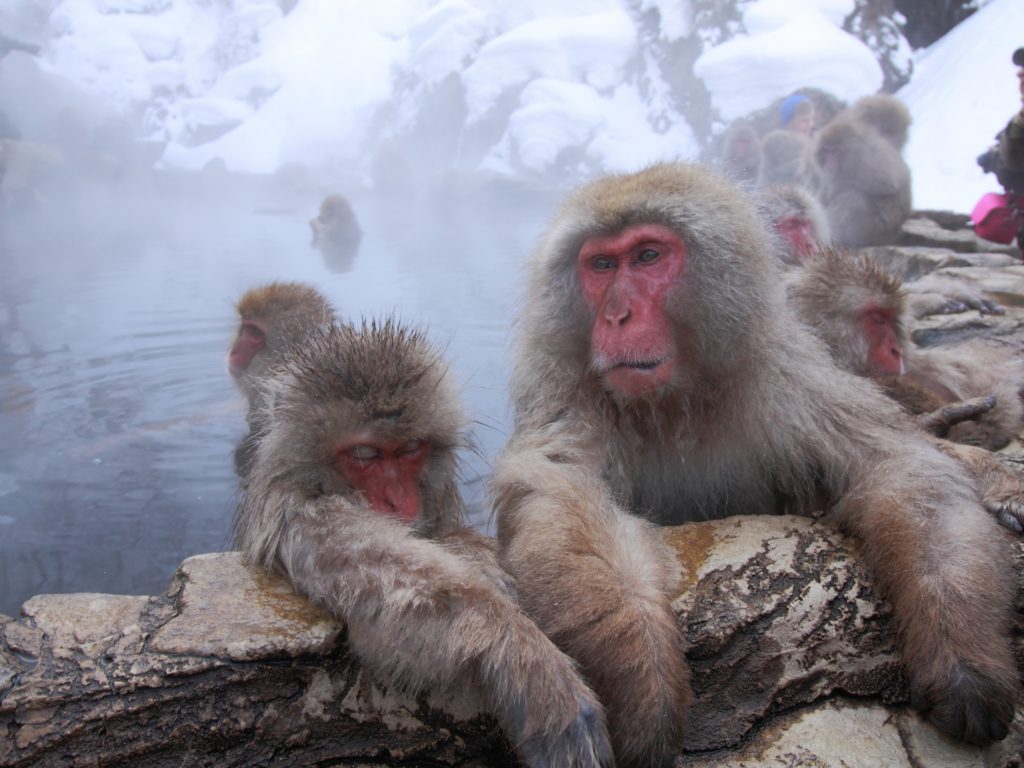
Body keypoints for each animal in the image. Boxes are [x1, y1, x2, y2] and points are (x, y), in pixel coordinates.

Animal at [234, 311, 614, 768]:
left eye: (410, 448)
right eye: (365, 456)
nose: (398, 499)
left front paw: (478, 556)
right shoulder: (298, 513)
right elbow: (395, 591)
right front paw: (529, 661)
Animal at [491, 160, 1019, 765]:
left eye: (647, 256)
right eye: (601, 265)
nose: (617, 316)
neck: (675, 400)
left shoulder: (787, 375)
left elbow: (902, 466)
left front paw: (964, 657)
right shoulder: (569, 392)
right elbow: (562, 486)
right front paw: (640, 667)